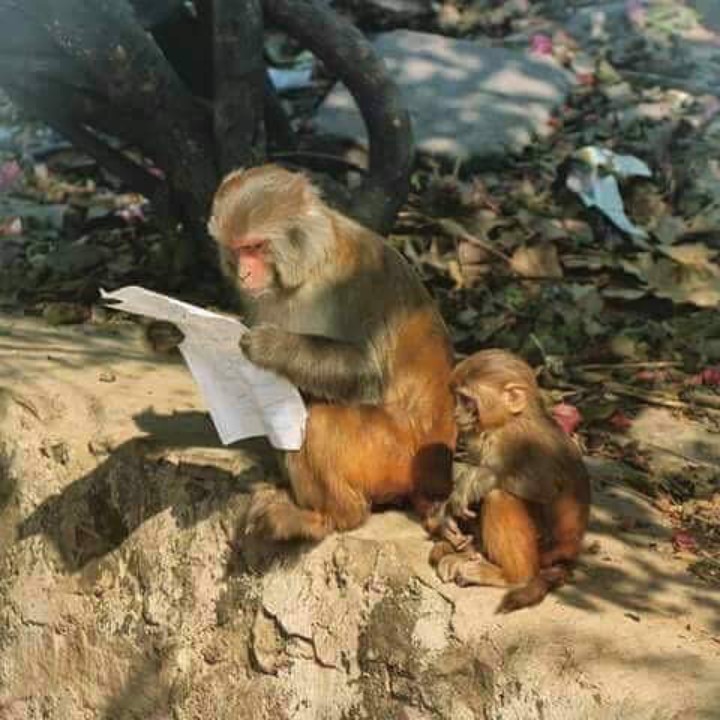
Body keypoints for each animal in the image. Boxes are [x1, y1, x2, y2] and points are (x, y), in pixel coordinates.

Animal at [145, 164, 456, 541]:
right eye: (236, 249)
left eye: (256, 246)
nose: (244, 273)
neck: (308, 269)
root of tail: (438, 472)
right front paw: (172, 331)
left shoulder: (354, 280)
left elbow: (367, 373)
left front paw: (269, 346)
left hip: (395, 454)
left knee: (319, 422)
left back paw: (332, 517)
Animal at [427, 349, 591, 613]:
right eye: (457, 398)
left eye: (467, 400)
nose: (456, 414)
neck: (508, 421)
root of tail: (570, 549)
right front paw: (445, 517)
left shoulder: (518, 441)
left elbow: (545, 487)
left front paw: (474, 481)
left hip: (544, 548)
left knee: (499, 496)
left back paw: (511, 576)